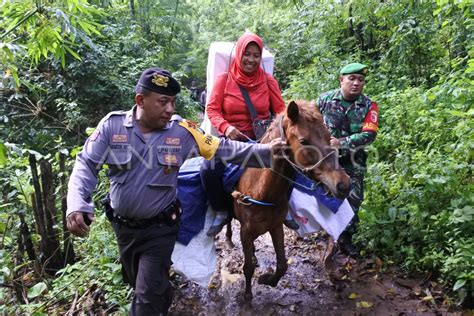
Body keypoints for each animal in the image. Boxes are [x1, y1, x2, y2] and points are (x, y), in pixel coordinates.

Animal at [230, 100, 352, 300]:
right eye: (304, 141)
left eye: (329, 137)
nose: (344, 185)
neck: (261, 192)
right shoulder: (245, 232)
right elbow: (247, 267)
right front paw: (247, 294)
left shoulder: (276, 227)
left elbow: (282, 265)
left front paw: (267, 280)